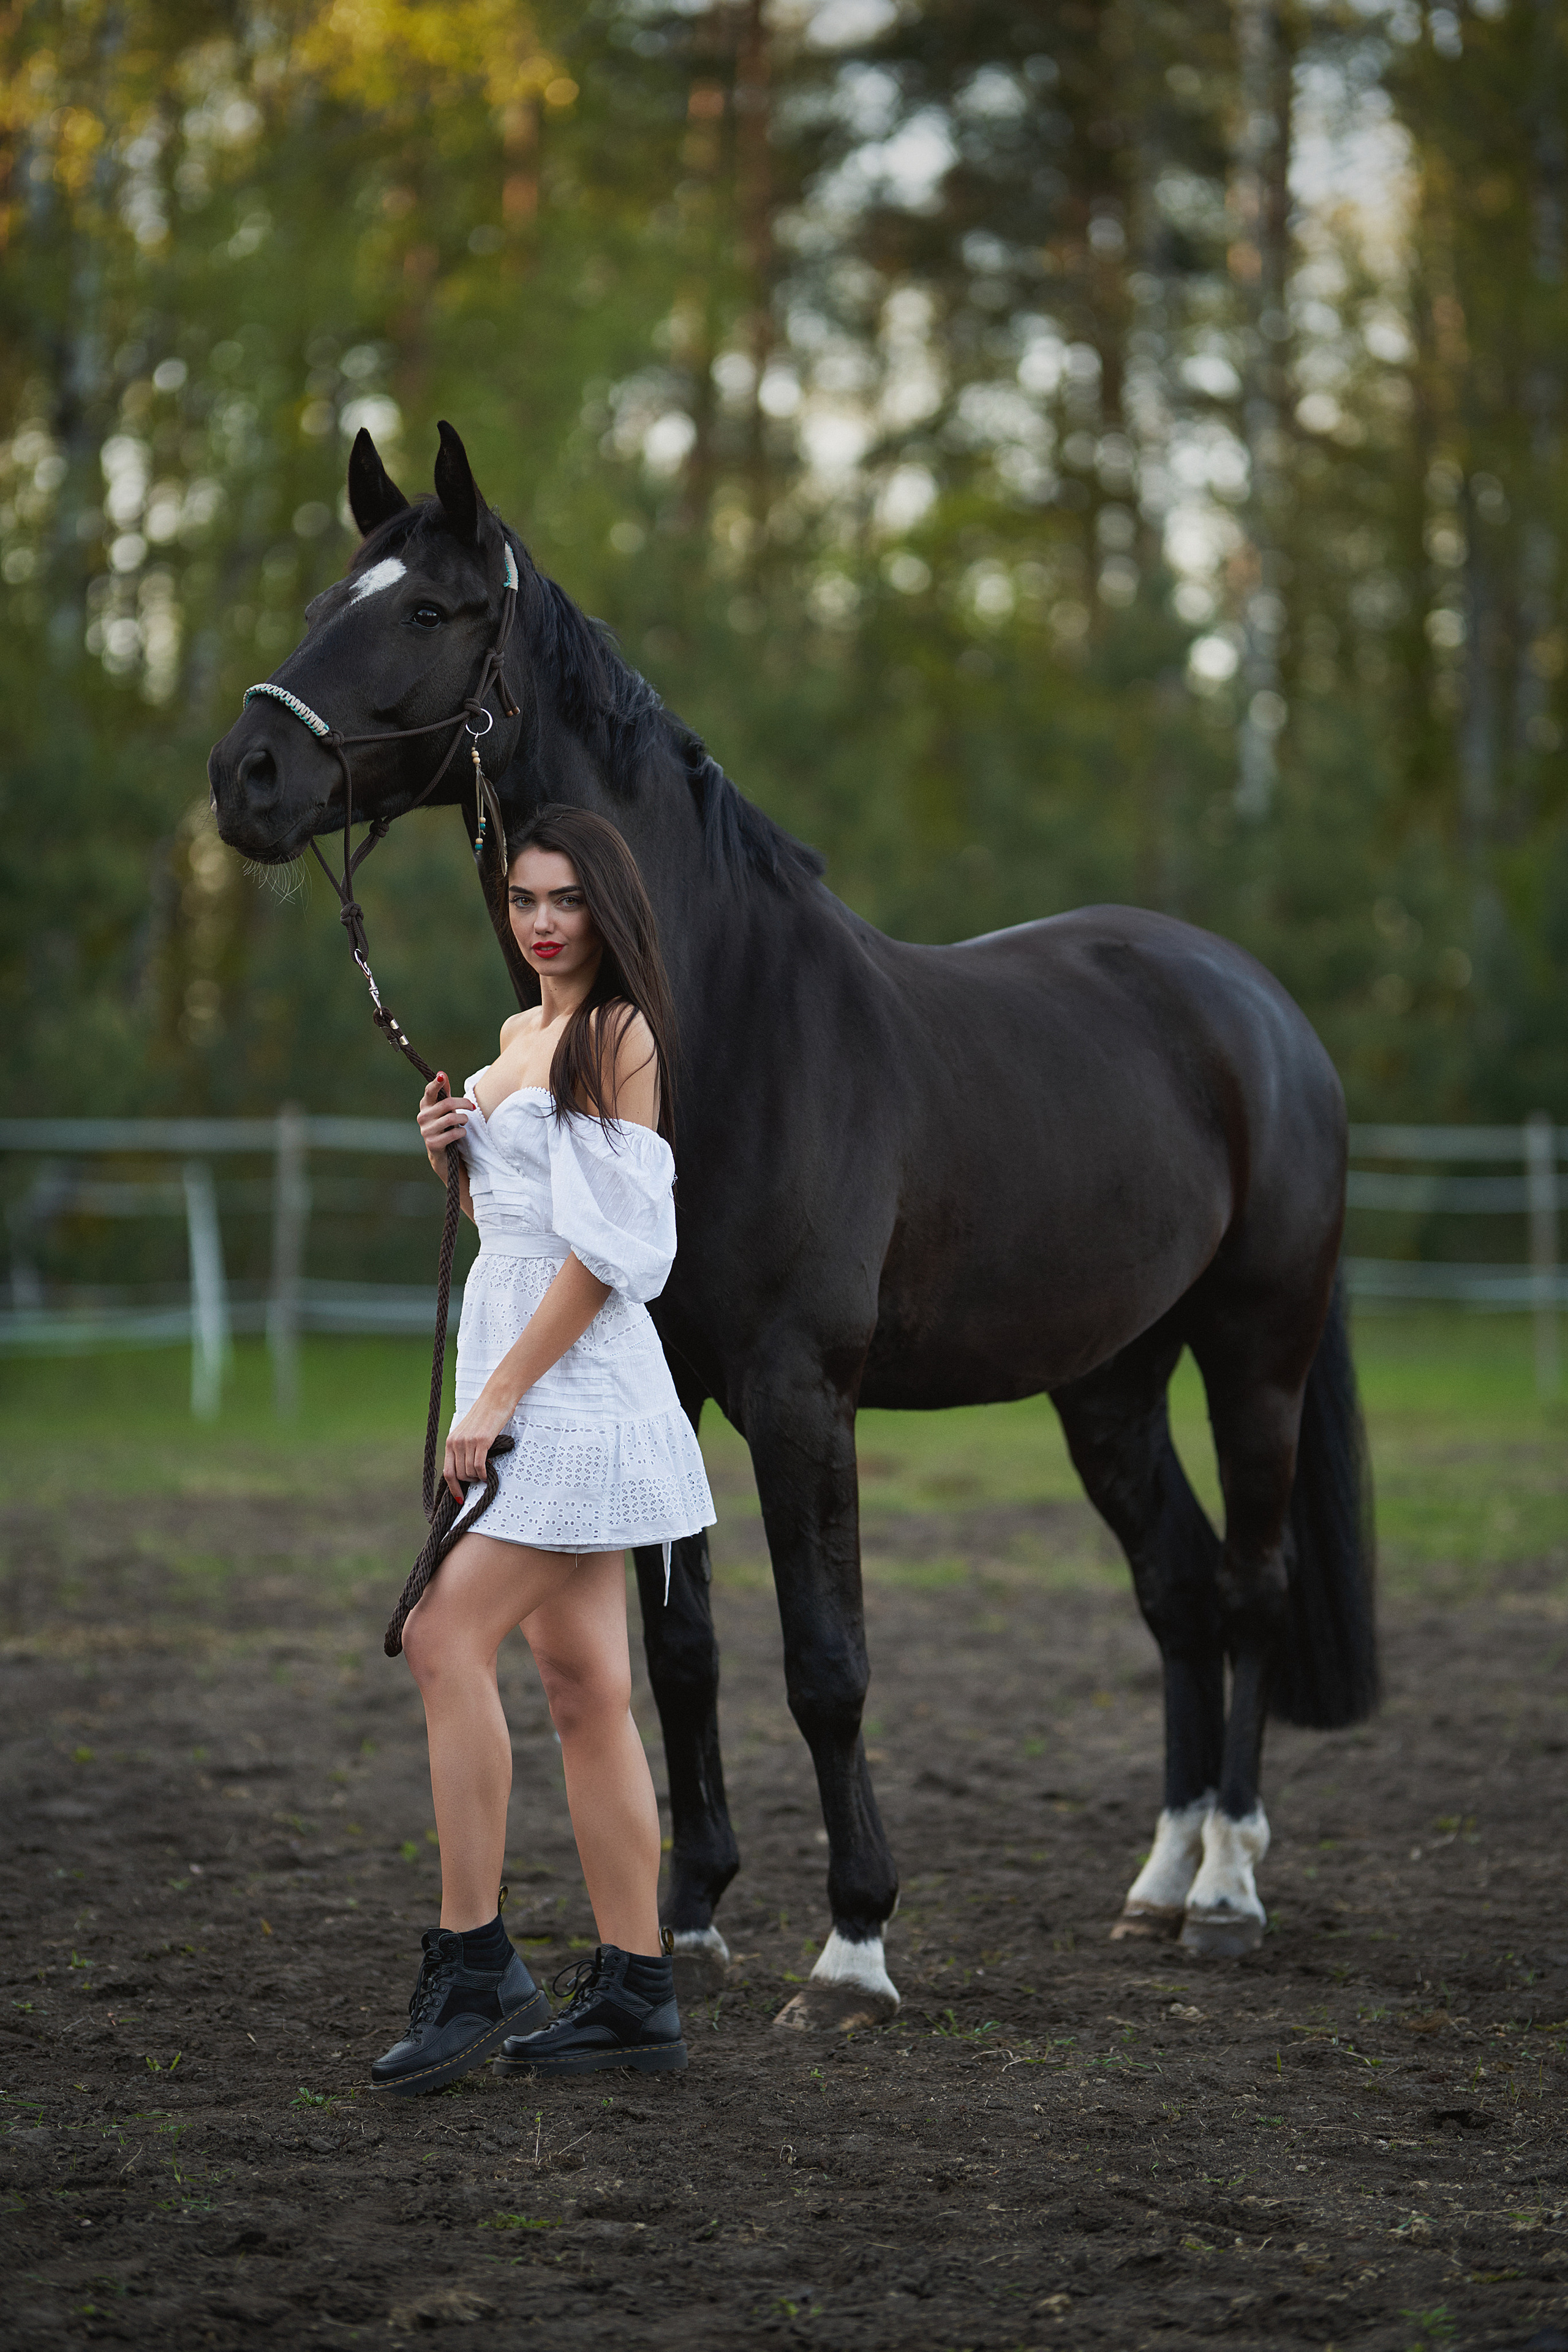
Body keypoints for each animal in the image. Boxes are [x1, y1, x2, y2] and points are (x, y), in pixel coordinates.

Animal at [208, 423, 1376, 2028]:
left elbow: (825, 1661)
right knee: (1177, 1589)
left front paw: (853, 1948)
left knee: (1250, 1590)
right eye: (336, 595)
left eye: (428, 612)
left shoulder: (796, 1390)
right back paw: (1153, 1883)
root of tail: (1259, 1010)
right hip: (1106, 1383)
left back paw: (1224, 1892)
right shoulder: (666, 1374)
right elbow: (679, 1648)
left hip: (1252, 1349)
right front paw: (688, 1911)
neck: (716, 1018)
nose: (243, 775)